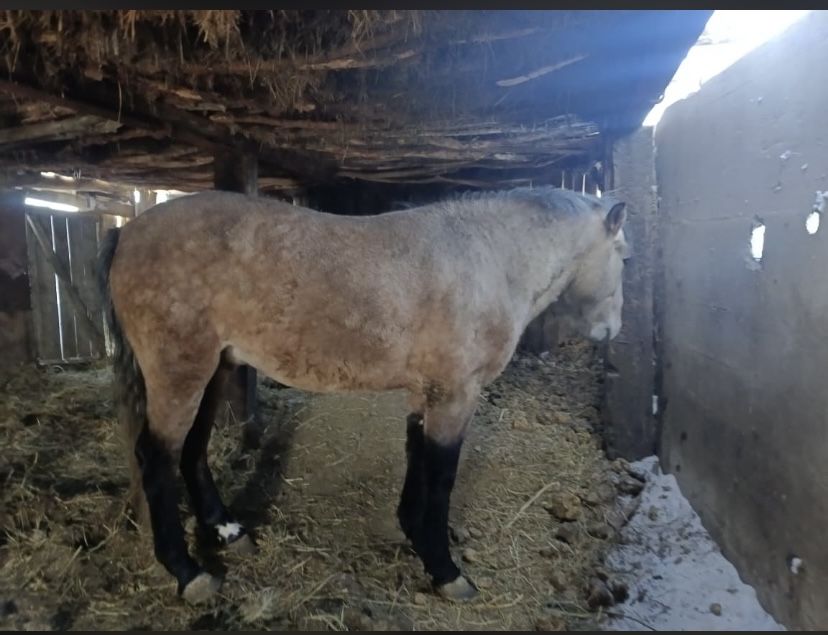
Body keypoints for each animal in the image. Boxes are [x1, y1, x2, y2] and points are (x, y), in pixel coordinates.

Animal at [96, 185, 628, 605]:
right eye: (625, 256)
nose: (612, 329)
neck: (486, 258)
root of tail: (128, 232)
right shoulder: (455, 396)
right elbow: (441, 477)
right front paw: (445, 571)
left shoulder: (426, 394)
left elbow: (417, 461)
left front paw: (413, 532)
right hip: (180, 373)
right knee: (157, 458)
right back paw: (188, 573)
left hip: (214, 370)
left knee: (193, 450)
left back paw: (227, 531)